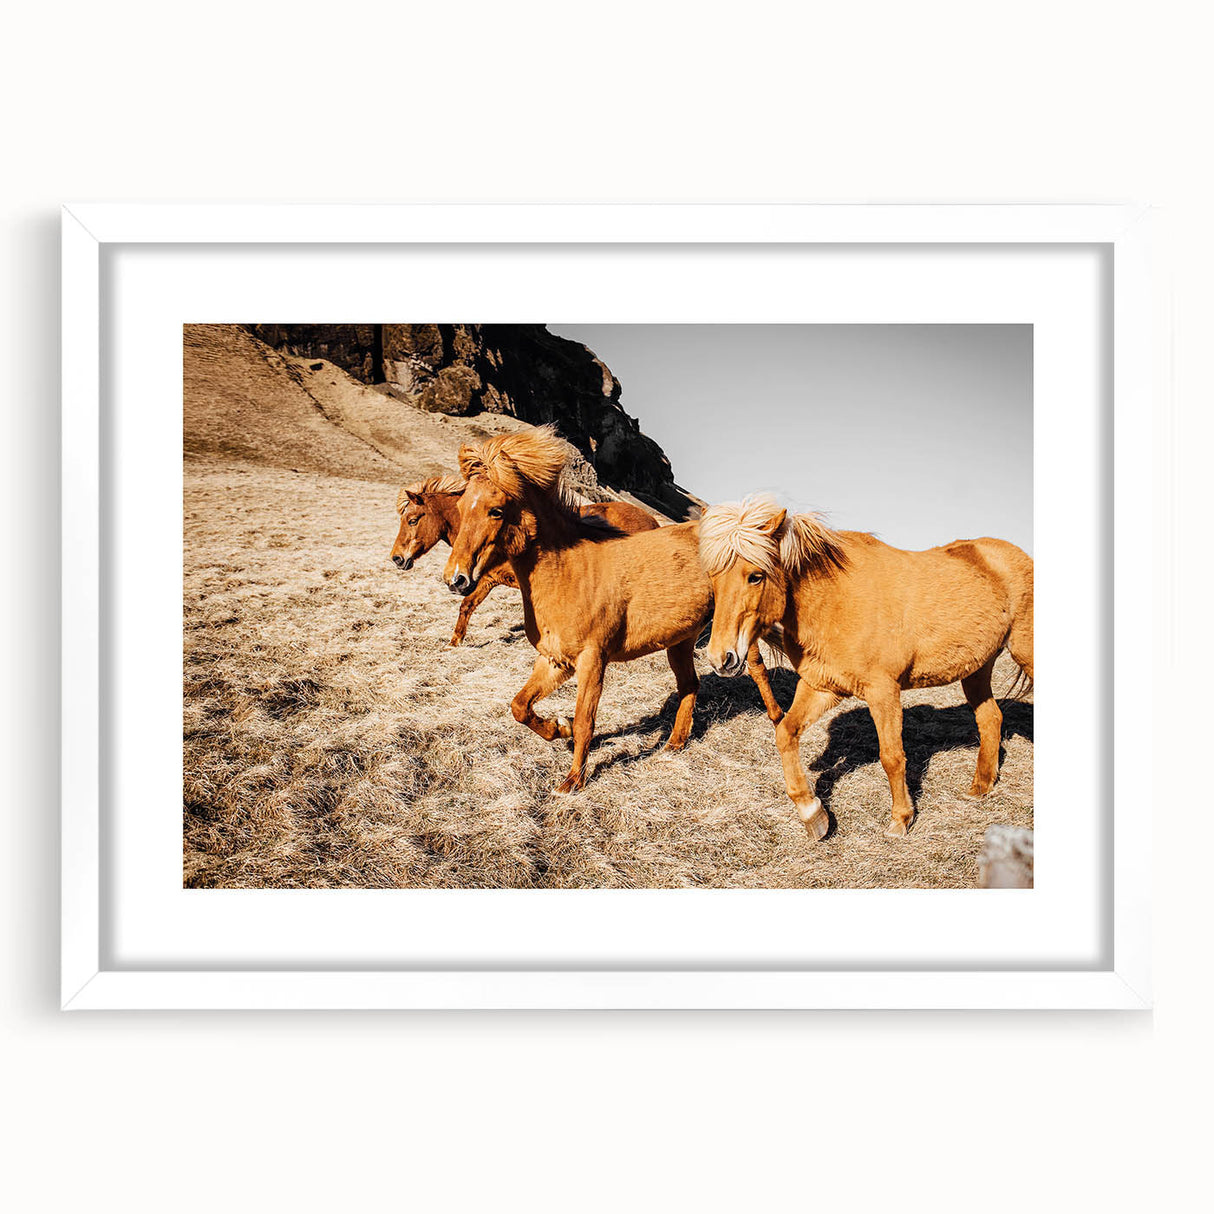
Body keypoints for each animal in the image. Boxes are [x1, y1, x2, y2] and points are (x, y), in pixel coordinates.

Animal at [390, 473, 659, 646]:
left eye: (412, 520)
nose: (397, 558)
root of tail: (651, 521)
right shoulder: (487, 580)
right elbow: (467, 606)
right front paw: (454, 642)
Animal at [442, 425, 786, 794]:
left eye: (495, 510)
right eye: (460, 506)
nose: (455, 579)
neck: (569, 572)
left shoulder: (592, 660)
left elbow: (585, 721)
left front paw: (573, 781)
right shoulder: (554, 660)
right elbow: (520, 707)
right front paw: (558, 728)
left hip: (734, 633)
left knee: (757, 669)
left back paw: (777, 719)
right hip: (680, 641)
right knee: (690, 685)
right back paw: (675, 743)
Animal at [699, 495, 1033, 841]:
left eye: (755, 575)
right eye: (713, 577)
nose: (721, 658)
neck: (835, 601)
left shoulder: (883, 691)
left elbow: (892, 756)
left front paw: (901, 820)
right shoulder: (821, 686)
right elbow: (785, 733)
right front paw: (813, 813)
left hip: (1025, 652)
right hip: (976, 669)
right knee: (991, 719)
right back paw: (980, 787)